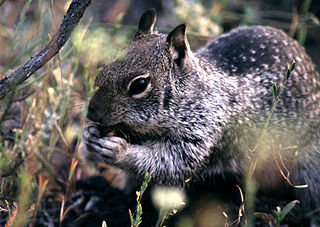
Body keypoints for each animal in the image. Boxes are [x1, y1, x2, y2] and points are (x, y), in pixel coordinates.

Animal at [82, 8, 320, 223]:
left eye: (139, 84)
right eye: (103, 67)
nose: (92, 113)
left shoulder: (202, 134)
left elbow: (171, 163)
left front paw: (118, 150)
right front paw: (88, 135)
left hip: (310, 167)